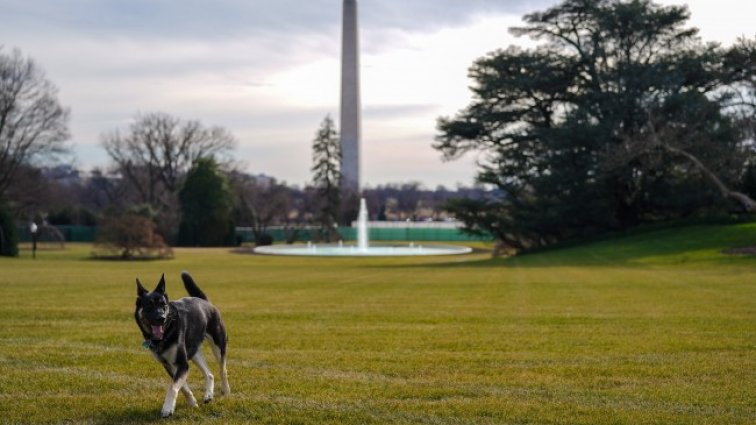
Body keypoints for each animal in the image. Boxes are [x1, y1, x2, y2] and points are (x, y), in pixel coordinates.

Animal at [135, 270, 230, 416]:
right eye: (149, 305)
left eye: (164, 305)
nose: (161, 318)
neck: (166, 333)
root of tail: (205, 301)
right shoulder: (170, 365)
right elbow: (182, 387)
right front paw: (192, 403)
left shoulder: (182, 364)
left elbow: (173, 387)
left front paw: (167, 408)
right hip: (194, 353)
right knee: (209, 374)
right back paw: (208, 395)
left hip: (218, 345)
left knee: (222, 369)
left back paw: (225, 390)